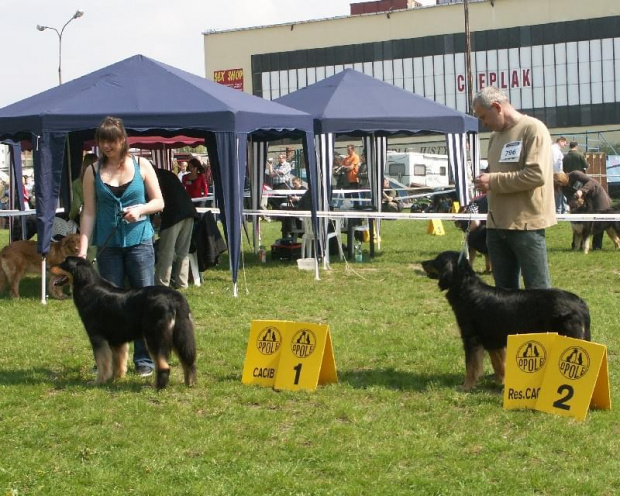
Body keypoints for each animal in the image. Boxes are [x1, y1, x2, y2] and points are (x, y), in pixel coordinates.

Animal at [422, 252, 592, 392]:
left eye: (437, 260)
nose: (422, 262)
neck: (466, 289)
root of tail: (580, 303)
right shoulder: (492, 340)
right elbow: (498, 364)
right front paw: (500, 382)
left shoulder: (471, 338)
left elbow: (471, 366)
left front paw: (466, 386)